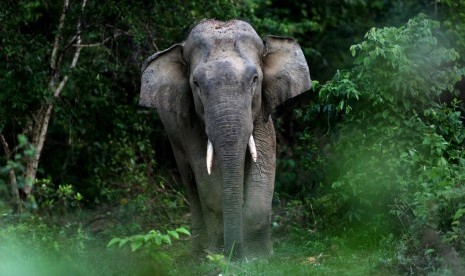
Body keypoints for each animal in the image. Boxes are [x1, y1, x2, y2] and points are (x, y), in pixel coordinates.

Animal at [140, 19, 310, 258]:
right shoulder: (190, 125)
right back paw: (199, 253)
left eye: (255, 79)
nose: (236, 256)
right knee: (190, 181)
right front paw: (219, 256)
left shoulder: (262, 114)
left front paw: (258, 256)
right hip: (174, 137)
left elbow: (263, 168)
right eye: (196, 84)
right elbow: (208, 181)